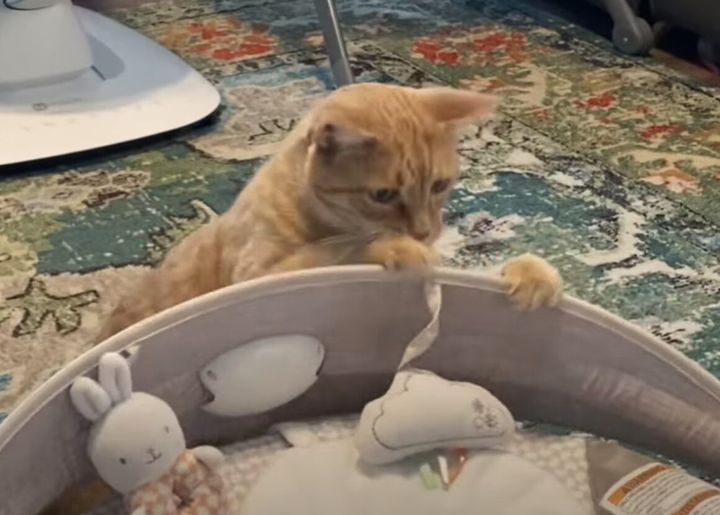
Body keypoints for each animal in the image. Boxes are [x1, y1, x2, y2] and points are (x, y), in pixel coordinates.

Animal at [40, 83, 562, 515]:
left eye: (439, 185)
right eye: (382, 194)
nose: (422, 230)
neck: (314, 211)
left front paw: (531, 271)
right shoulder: (261, 274)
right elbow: (345, 248)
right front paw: (392, 247)